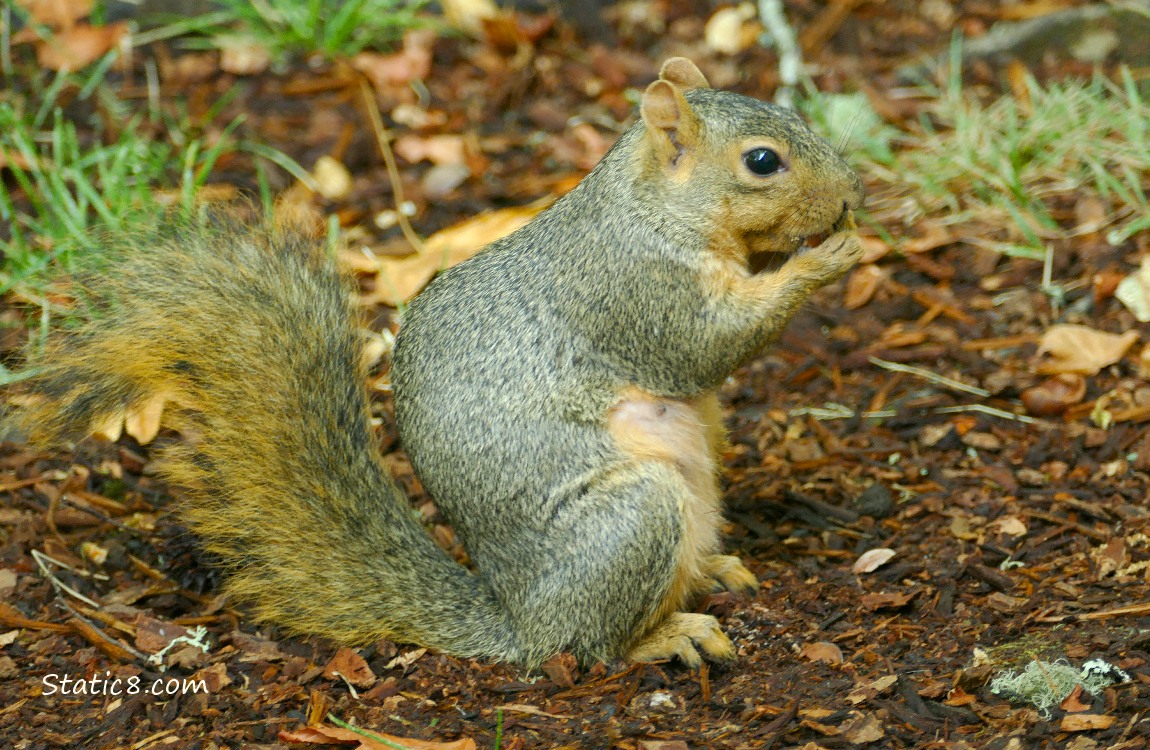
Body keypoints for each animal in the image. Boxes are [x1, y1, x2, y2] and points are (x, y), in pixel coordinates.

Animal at [7, 58, 864, 668]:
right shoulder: (633, 289)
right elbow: (707, 345)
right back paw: (666, 635)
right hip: (630, 519)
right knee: (591, 645)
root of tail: (517, 618)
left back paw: (711, 572)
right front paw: (826, 259)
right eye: (762, 161)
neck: (648, 204)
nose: (849, 197)